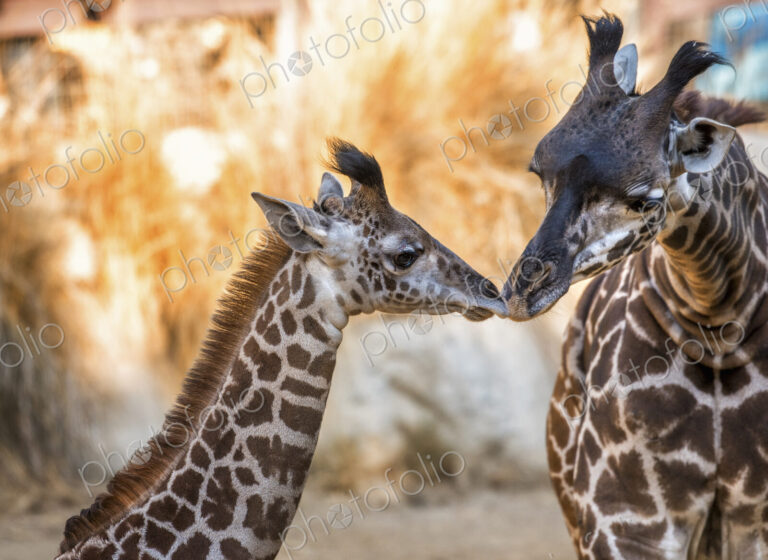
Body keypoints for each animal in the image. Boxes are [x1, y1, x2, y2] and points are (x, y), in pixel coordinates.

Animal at [502, 15, 768, 560]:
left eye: (645, 200)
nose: (522, 292)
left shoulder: (752, 519)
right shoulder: (626, 520)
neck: (720, 331)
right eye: (539, 173)